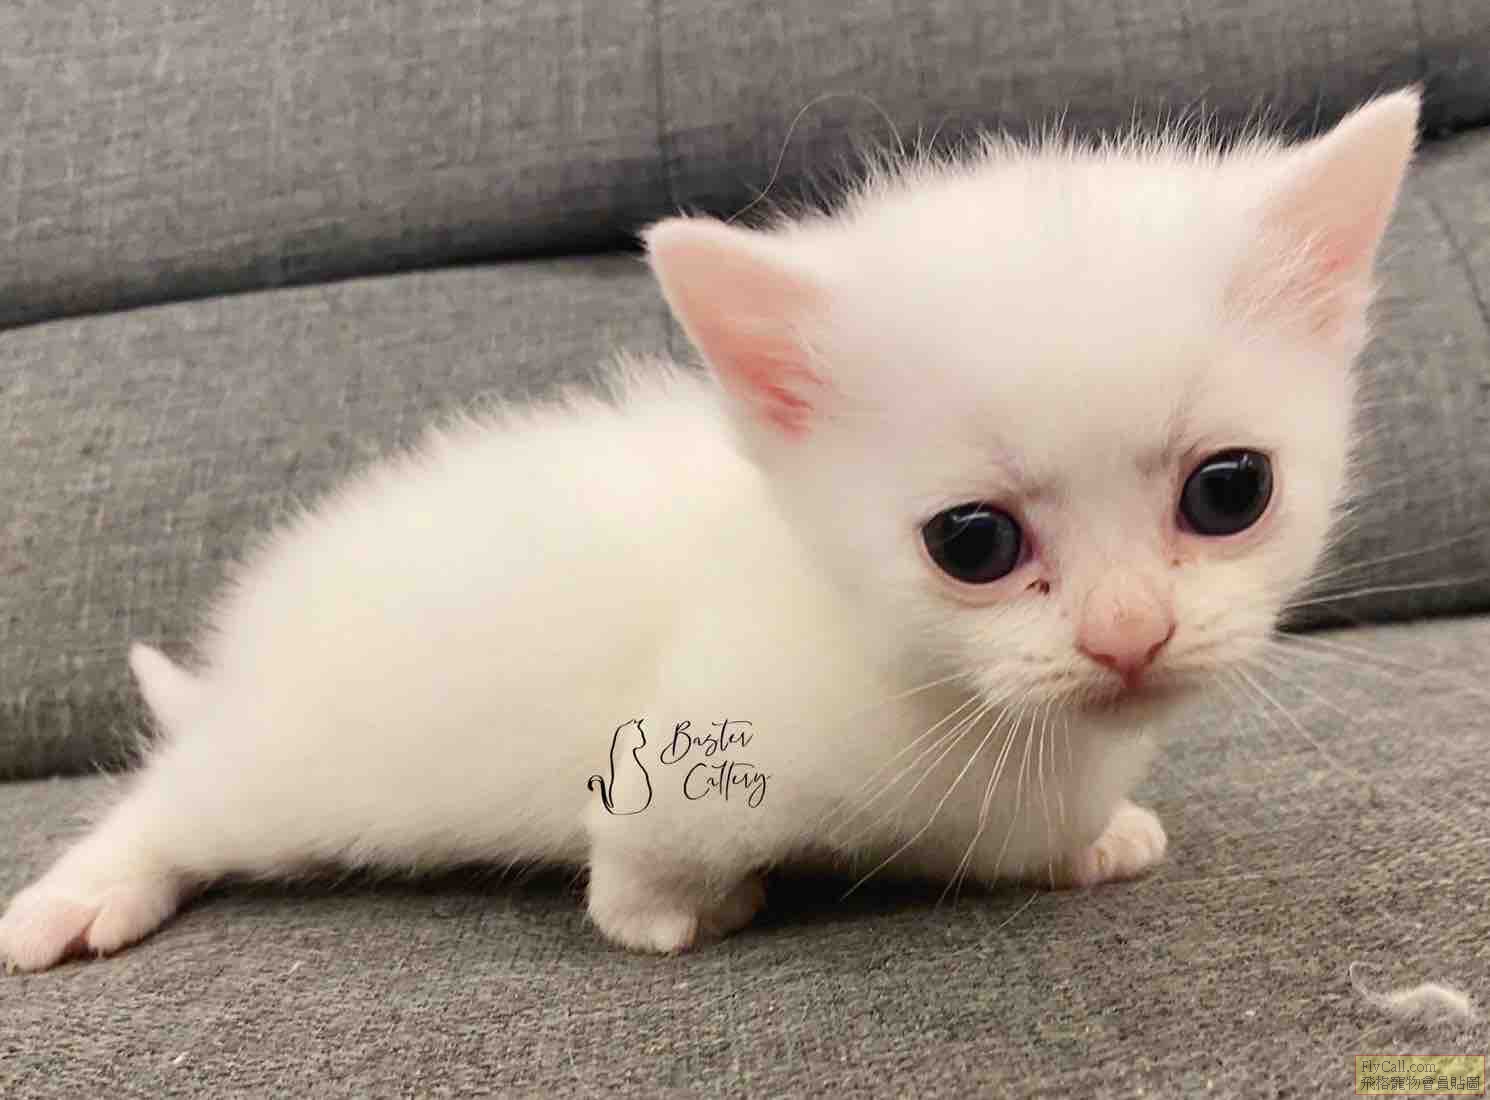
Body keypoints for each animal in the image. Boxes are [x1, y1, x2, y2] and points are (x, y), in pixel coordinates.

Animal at [0, 88, 1419, 970]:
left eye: (1228, 491)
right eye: (970, 542)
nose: (1129, 634)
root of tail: (251, 656)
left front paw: (1095, 836)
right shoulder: (688, 742)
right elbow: (638, 858)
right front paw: (668, 914)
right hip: (298, 770)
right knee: (174, 797)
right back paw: (81, 896)